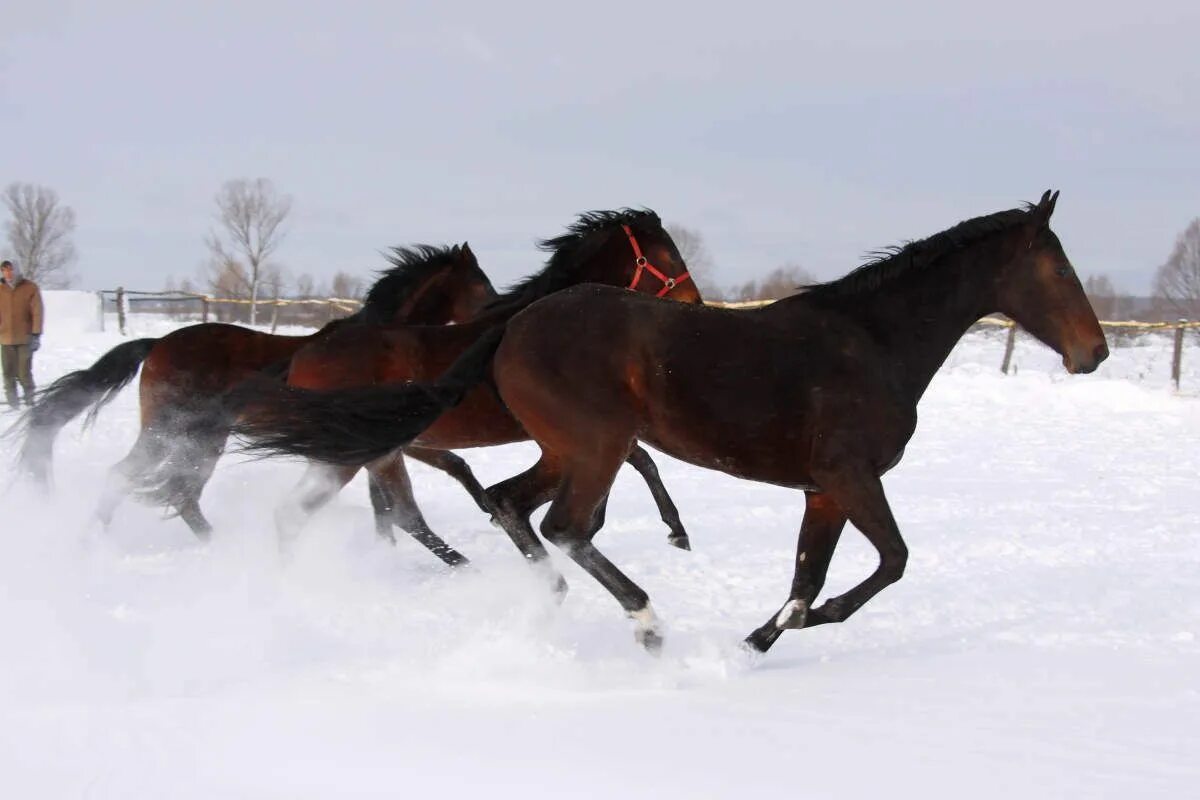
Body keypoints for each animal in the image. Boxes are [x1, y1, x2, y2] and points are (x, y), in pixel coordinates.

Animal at [225, 209, 700, 566]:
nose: (695, 304)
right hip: (356, 454)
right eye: (670, 255)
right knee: (329, 514)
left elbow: (637, 463)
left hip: (369, 453)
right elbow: (641, 461)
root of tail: (301, 357)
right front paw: (676, 531)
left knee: (388, 513)